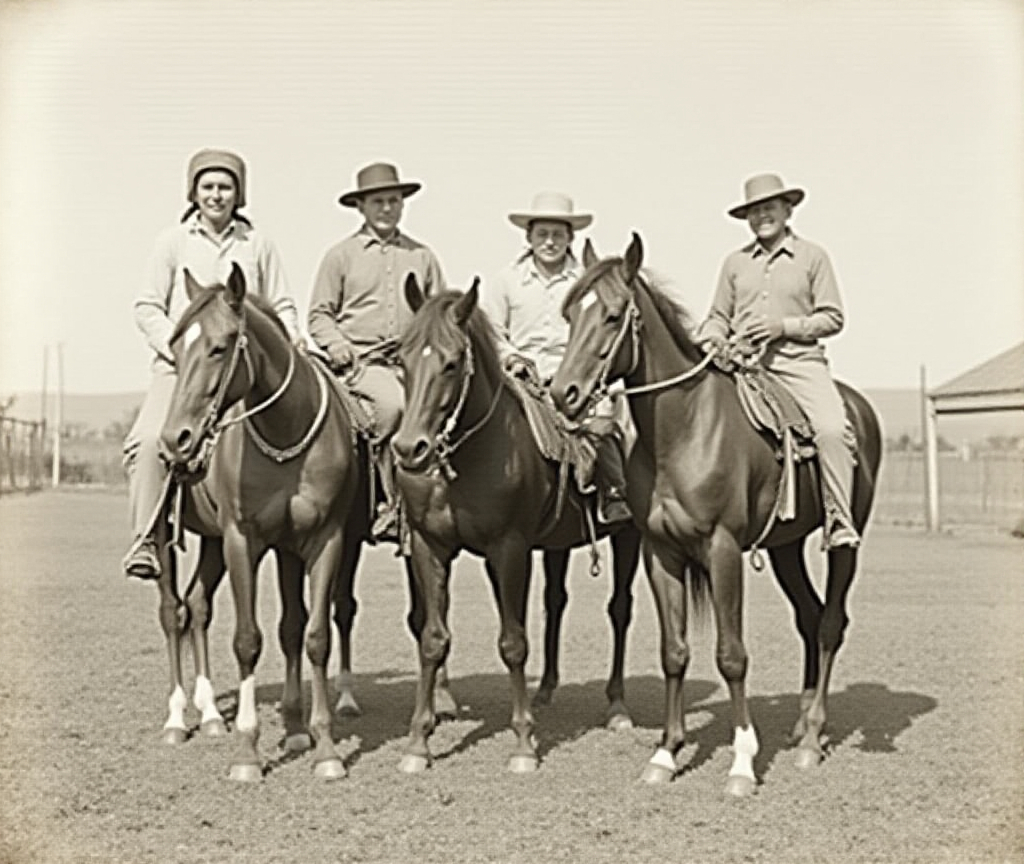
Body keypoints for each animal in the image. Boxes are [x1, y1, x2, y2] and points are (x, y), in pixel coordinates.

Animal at [157, 260, 366, 778]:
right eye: (175, 347)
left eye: (219, 346)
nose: (176, 440)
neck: (287, 434)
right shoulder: (242, 540)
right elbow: (248, 640)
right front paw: (248, 752)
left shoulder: (321, 540)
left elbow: (310, 634)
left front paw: (322, 745)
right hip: (167, 539)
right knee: (173, 612)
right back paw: (177, 719)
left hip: (212, 542)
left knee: (198, 607)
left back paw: (212, 714)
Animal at [391, 278, 638, 778]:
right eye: (402, 359)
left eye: (451, 362)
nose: (409, 449)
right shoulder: (430, 548)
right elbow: (432, 639)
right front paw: (418, 742)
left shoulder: (509, 549)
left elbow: (513, 642)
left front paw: (524, 742)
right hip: (558, 545)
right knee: (556, 602)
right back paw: (546, 690)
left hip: (630, 538)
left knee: (620, 610)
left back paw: (616, 706)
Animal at [552, 234, 880, 798]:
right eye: (571, 313)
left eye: (613, 316)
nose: (562, 392)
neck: (684, 431)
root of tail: (860, 406)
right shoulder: (660, 553)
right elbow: (674, 651)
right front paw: (665, 753)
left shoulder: (722, 549)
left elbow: (732, 655)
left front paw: (742, 763)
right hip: (785, 548)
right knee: (809, 616)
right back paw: (800, 725)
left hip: (845, 543)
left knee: (831, 623)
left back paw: (813, 738)